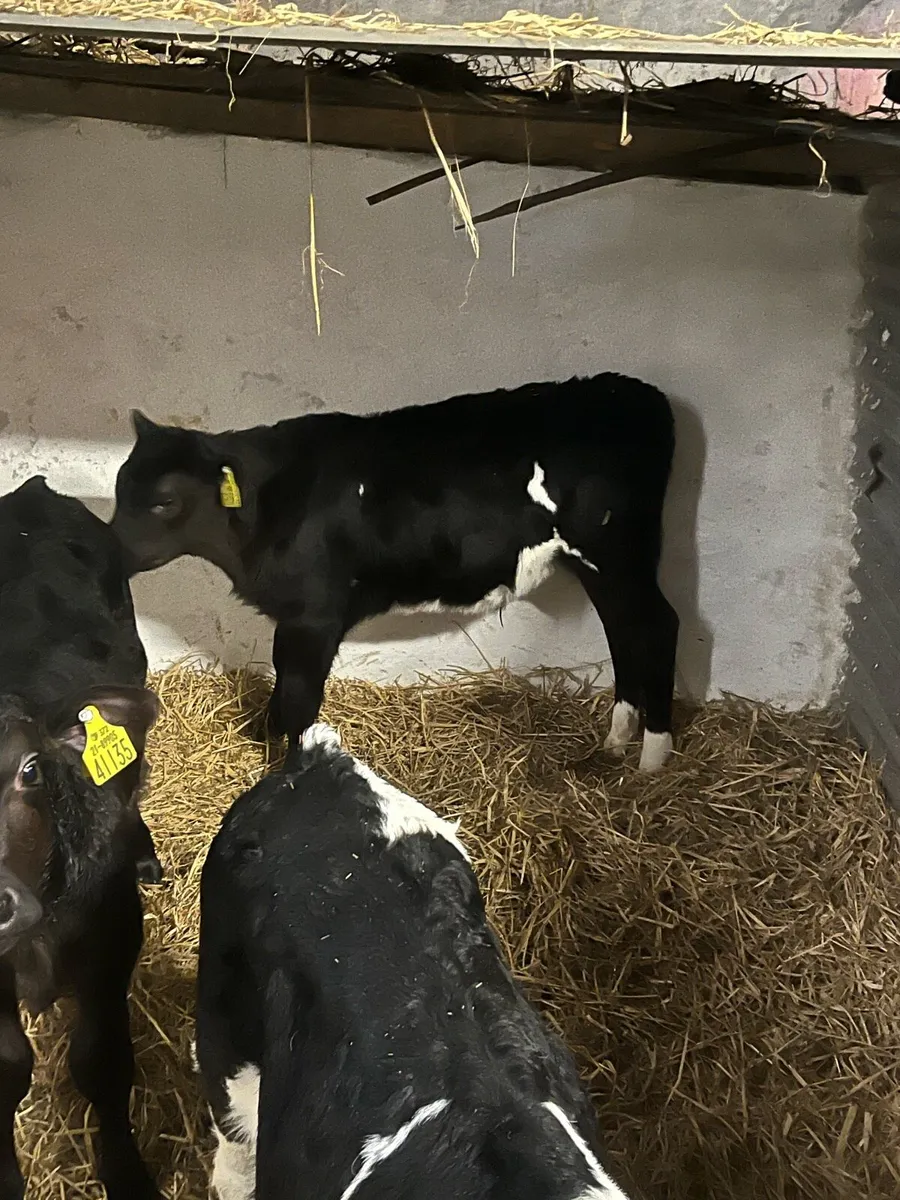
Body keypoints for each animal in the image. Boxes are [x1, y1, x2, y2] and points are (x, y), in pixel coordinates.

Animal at [111, 374, 678, 772]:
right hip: (600, 564)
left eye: (164, 500)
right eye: (119, 484)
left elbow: (298, 700)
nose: (106, 546)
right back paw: (616, 741)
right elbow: (281, 694)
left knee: (658, 626)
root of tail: (631, 391)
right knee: (624, 630)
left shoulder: (314, 614)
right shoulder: (293, 616)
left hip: (617, 551)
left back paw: (653, 758)